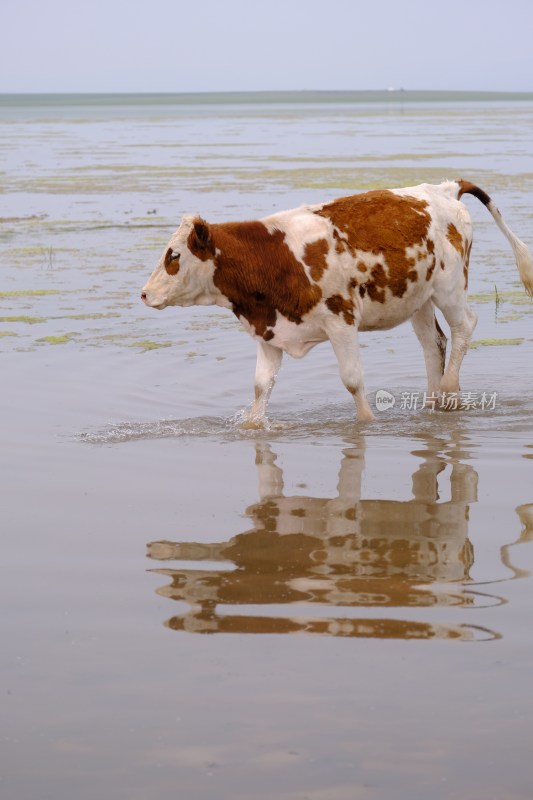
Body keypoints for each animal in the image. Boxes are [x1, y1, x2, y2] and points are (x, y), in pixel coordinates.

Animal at [139, 178, 528, 422]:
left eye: (174, 255)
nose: (144, 293)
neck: (273, 256)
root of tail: (443, 188)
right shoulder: (271, 330)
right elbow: (261, 387)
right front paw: (252, 424)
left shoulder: (341, 321)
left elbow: (352, 380)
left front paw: (366, 421)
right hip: (419, 297)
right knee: (434, 344)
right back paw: (434, 403)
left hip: (450, 287)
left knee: (465, 327)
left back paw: (448, 392)